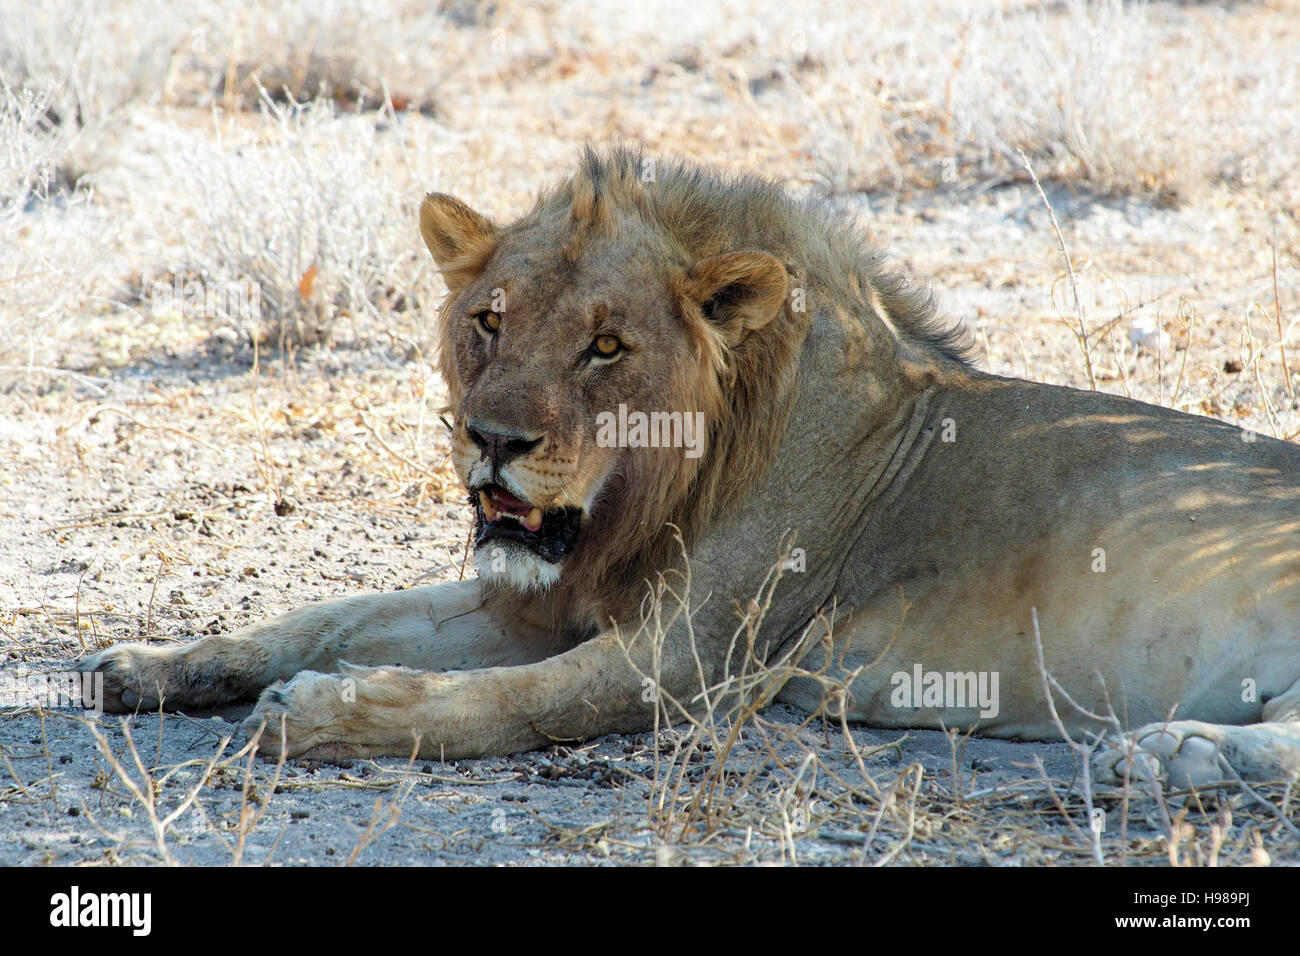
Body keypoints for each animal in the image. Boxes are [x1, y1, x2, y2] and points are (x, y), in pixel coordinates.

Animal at [73, 145, 1300, 790]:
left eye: (607, 346)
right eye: (488, 321)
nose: (491, 440)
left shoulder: (692, 656)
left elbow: (516, 705)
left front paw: (324, 714)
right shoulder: (536, 598)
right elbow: (325, 612)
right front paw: (153, 664)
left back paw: (1172, 750)